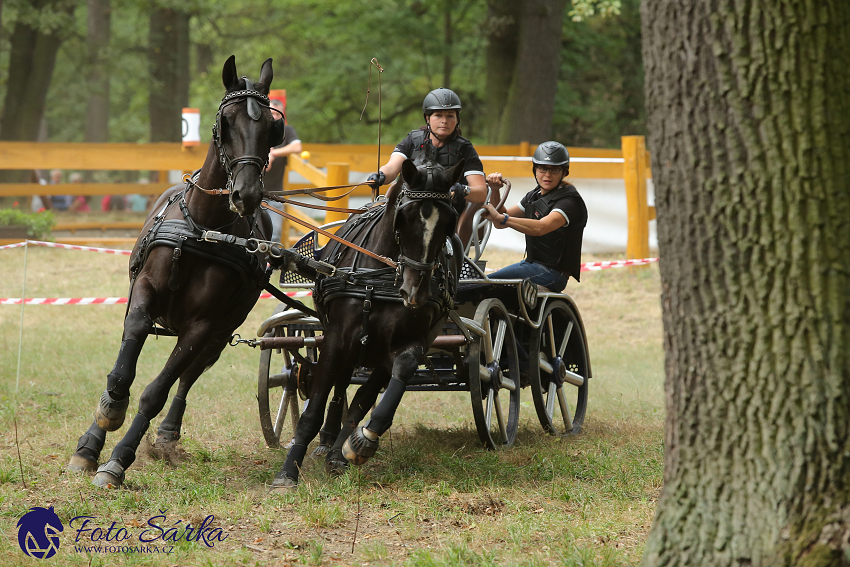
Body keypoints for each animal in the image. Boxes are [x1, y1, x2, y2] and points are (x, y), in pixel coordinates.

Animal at [66, 58, 284, 492]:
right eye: (226, 121)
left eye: (272, 127)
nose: (247, 195)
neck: (203, 228)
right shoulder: (143, 293)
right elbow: (124, 365)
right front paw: (104, 421)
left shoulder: (203, 324)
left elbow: (158, 391)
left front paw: (117, 461)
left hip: (218, 332)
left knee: (188, 376)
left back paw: (167, 435)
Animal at [274, 154, 464, 488]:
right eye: (404, 217)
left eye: (449, 221)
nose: (416, 291)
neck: (384, 276)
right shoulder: (337, 339)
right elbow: (316, 405)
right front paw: (288, 471)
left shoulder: (410, 342)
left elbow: (373, 394)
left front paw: (360, 442)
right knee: (338, 384)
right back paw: (326, 439)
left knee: (360, 394)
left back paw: (338, 449)